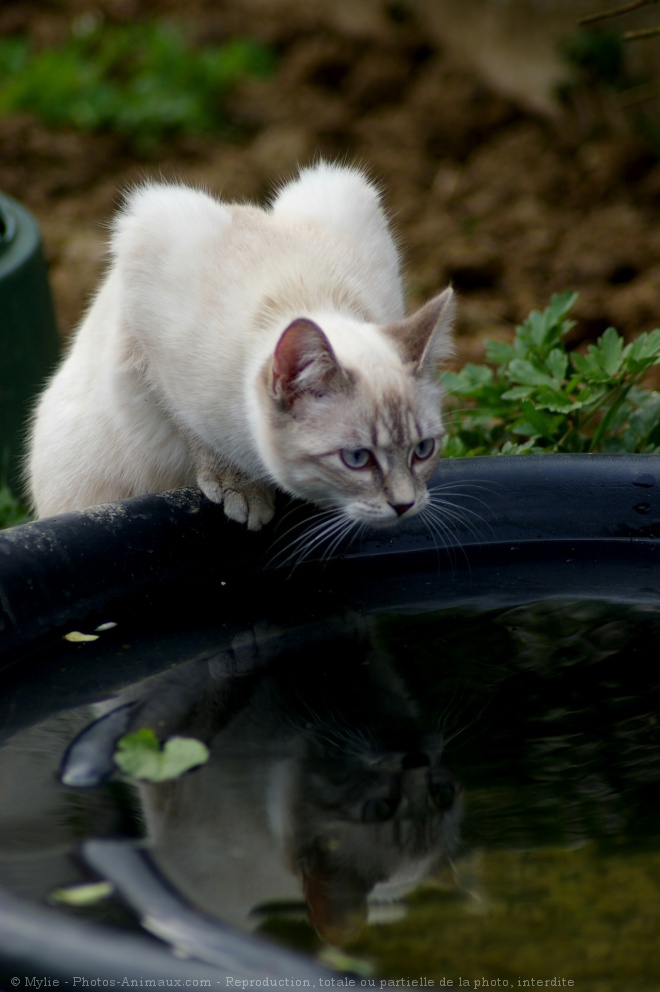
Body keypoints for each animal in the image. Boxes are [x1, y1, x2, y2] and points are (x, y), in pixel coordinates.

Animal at [25, 164, 454, 532]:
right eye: (357, 459)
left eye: (424, 450)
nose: (404, 505)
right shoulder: (147, 322)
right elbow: (189, 423)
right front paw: (242, 492)